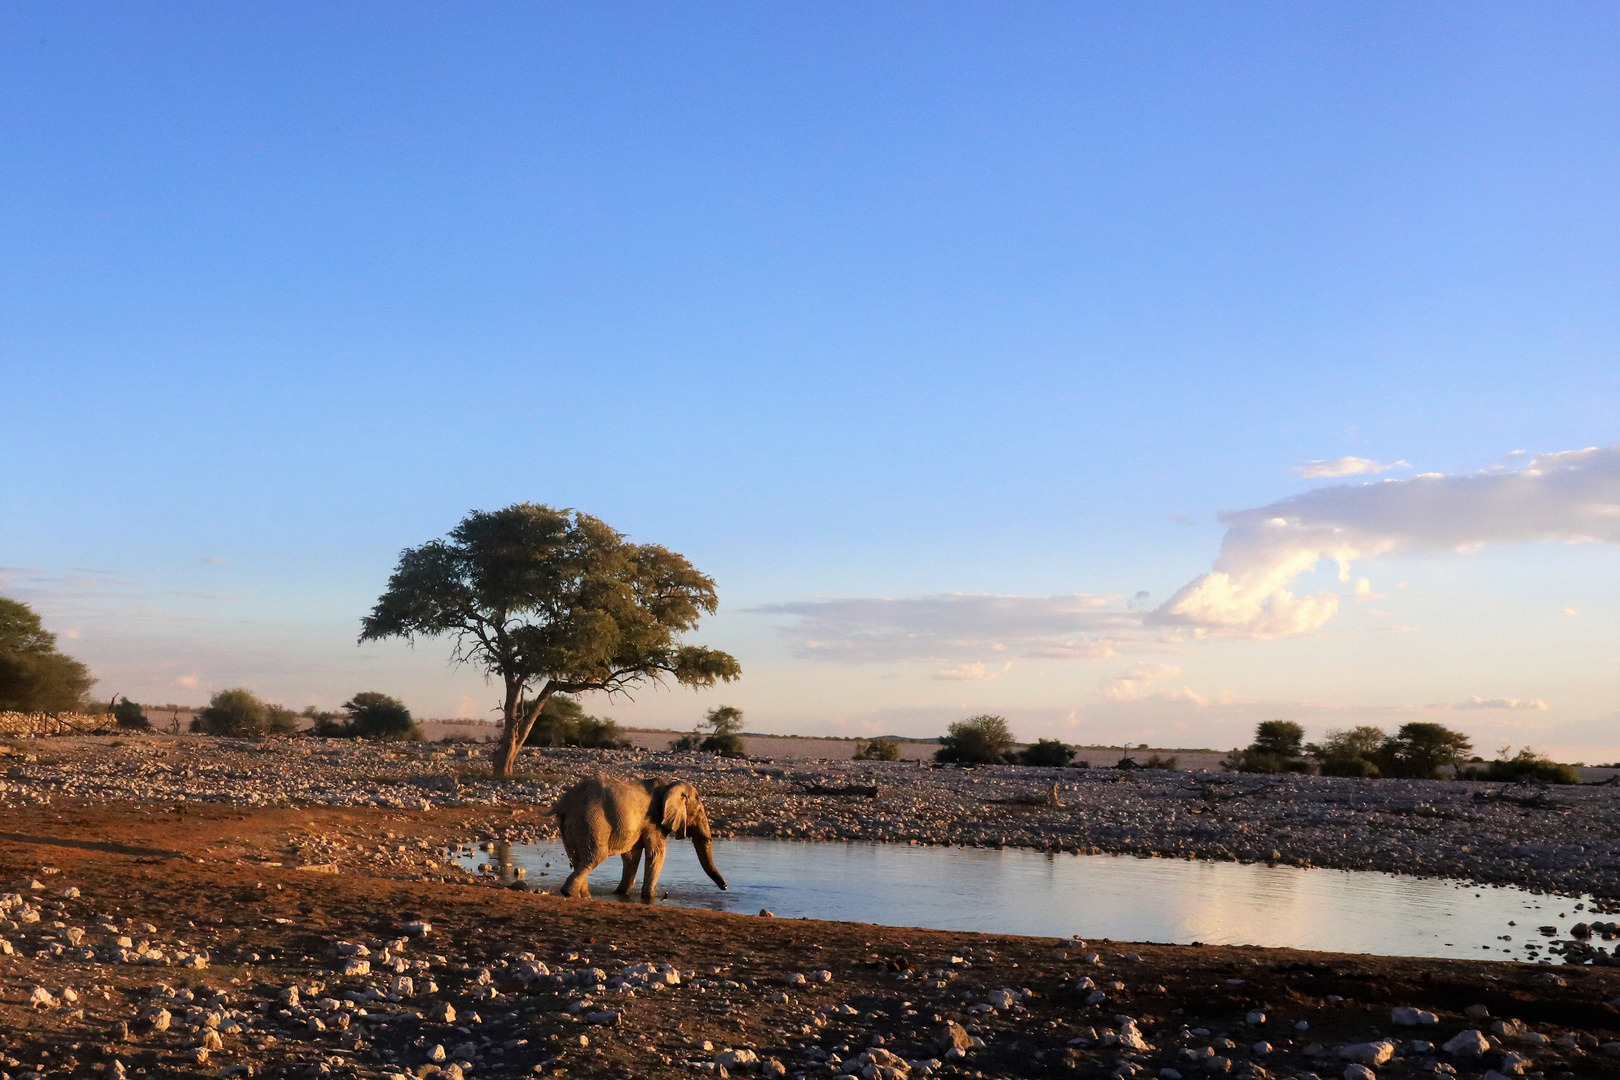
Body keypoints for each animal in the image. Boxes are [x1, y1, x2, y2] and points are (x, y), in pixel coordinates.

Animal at [550, 773, 729, 900]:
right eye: (698, 812)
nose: (726, 887)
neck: (669, 787)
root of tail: (564, 802)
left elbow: (631, 856)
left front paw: (621, 893)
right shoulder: (653, 822)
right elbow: (657, 854)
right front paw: (650, 897)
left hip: (571, 823)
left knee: (576, 858)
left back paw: (583, 895)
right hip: (591, 819)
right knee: (596, 856)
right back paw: (569, 893)